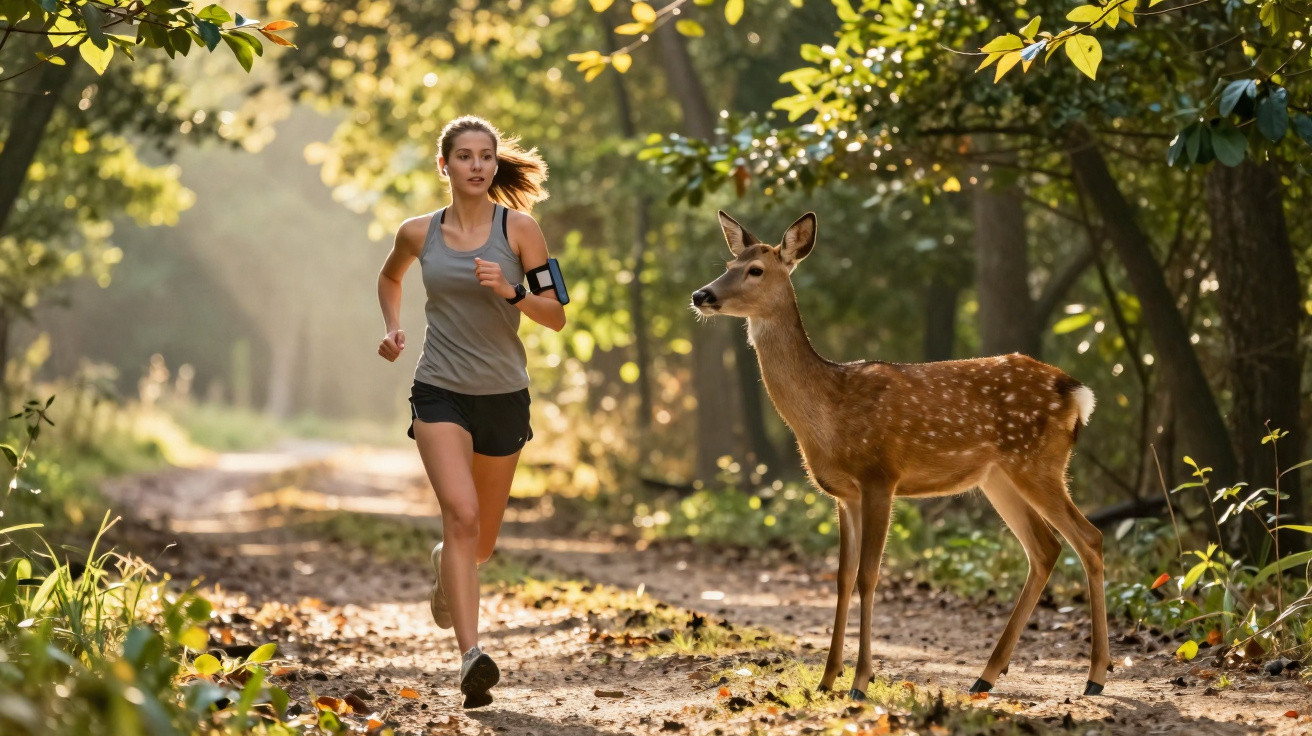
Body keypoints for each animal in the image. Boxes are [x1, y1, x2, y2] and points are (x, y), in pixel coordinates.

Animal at [691, 211, 1109, 700]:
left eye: (755, 270)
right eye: (728, 263)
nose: (702, 294)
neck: (829, 410)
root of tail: (1077, 394)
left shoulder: (879, 476)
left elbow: (869, 576)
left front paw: (859, 682)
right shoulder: (844, 495)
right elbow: (842, 578)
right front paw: (827, 679)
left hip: (1038, 463)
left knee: (1089, 538)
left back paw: (1095, 677)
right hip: (998, 477)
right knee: (1045, 548)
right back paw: (986, 675)